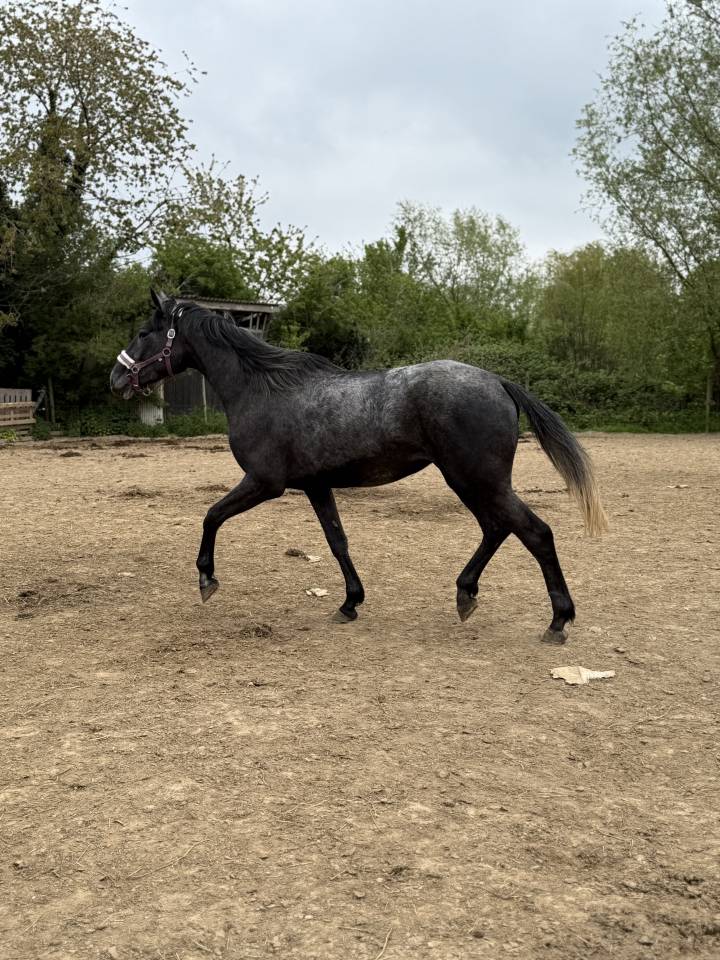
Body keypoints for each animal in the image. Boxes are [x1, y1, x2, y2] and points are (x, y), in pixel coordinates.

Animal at [110, 290, 607, 643]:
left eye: (144, 331)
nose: (115, 378)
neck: (262, 388)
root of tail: (498, 382)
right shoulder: (316, 487)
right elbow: (338, 542)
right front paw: (350, 603)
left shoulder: (264, 483)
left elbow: (211, 515)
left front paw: (206, 578)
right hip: (471, 482)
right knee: (498, 528)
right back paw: (466, 595)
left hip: (476, 479)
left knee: (535, 532)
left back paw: (557, 622)